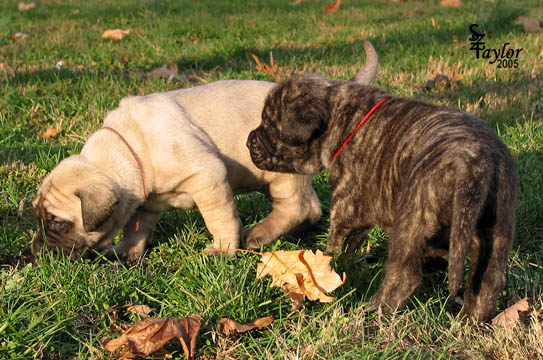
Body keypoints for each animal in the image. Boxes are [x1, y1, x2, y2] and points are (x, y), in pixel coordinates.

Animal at [248, 74, 520, 320]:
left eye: (269, 124)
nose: (250, 141)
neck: (343, 119)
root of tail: (475, 164)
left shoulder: (344, 209)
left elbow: (335, 246)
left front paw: (328, 271)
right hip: (498, 227)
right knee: (489, 279)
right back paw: (474, 319)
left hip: (412, 217)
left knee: (405, 274)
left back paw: (375, 309)